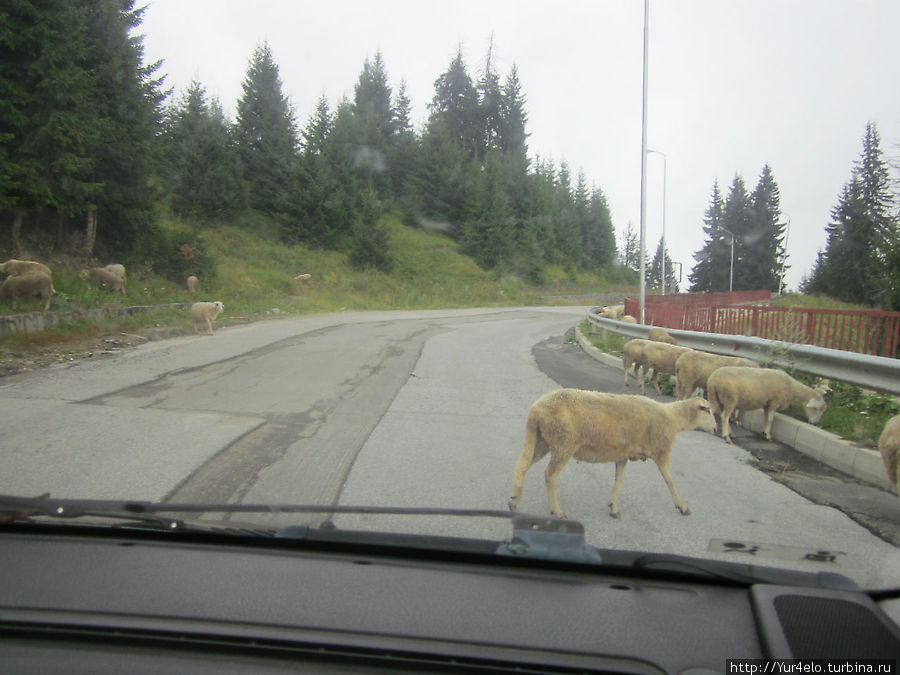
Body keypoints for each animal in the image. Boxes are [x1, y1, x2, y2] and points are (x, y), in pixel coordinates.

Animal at [510, 388, 712, 520]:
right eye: (709, 411)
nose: (716, 428)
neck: (672, 418)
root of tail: (536, 409)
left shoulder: (622, 455)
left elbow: (618, 480)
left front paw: (613, 507)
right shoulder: (661, 451)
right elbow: (670, 480)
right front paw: (683, 507)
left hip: (543, 441)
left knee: (522, 466)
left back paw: (513, 501)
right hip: (563, 443)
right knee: (550, 475)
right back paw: (557, 512)